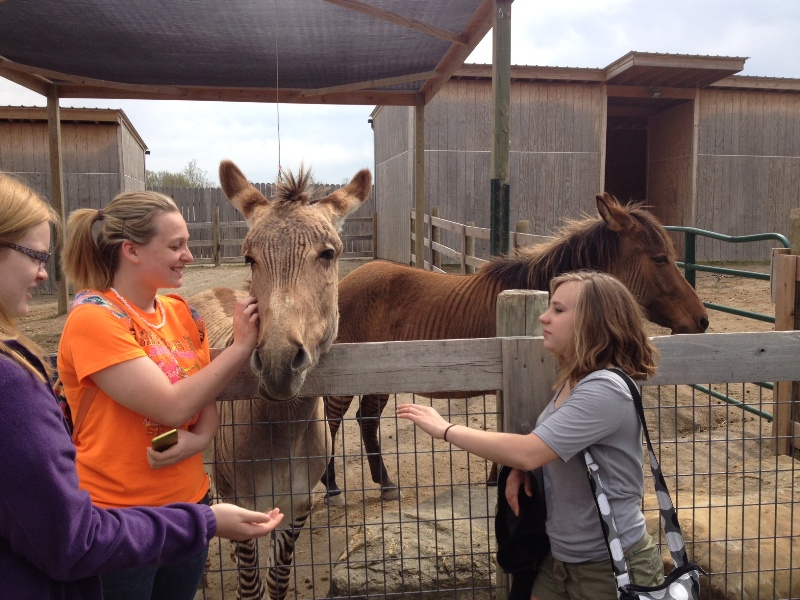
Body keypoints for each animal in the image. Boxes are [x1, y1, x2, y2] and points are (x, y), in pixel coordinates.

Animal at [190, 160, 371, 600]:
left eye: (328, 255)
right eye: (249, 259)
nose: (276, 362)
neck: (284, 431)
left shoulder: (296, 506)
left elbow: (277, 579)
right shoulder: (245, 503)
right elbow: (251, 586)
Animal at [321, 192, 710, 503]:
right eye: (660, 258)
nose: (702, 320)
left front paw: (495, 480)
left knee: (366, 420)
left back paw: (385, 483)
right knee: (332, 421)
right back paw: (331, 486)